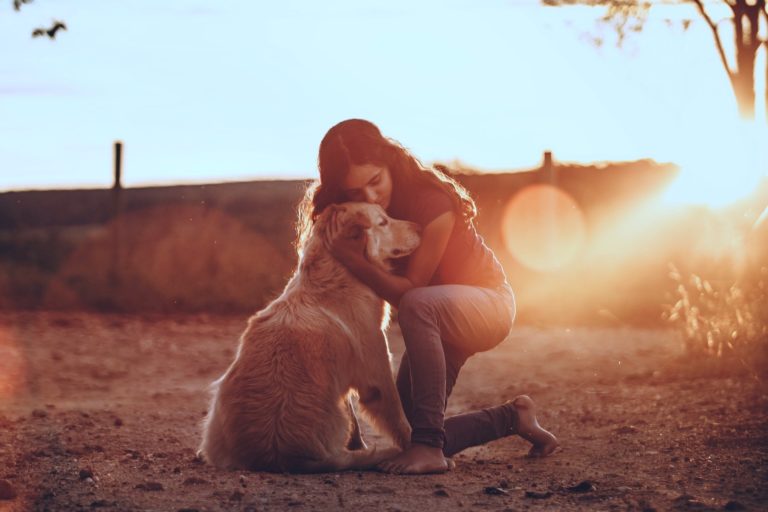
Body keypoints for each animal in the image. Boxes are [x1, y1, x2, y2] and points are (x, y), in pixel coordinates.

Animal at [195, 203, 416, 472]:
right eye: (383, 222)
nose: (420, 227)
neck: (336, 275)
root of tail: (279, 455)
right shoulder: (377, 371)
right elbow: (398, 416)